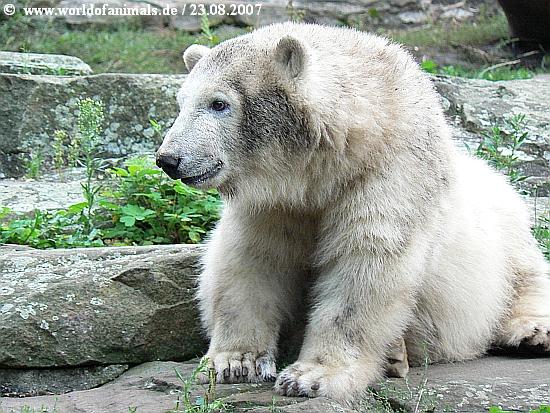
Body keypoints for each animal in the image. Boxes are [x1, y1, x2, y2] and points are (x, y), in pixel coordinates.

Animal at [156, 22, 550, 402]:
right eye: (181, 102)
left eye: (219, 103)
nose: (168, 159)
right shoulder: (274, 202)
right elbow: (253, 259)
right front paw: (235, 362)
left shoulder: (390, 171)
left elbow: (364, 264)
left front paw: (312, 377)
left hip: (503, 219)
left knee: (525, 273)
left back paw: (532, 331)